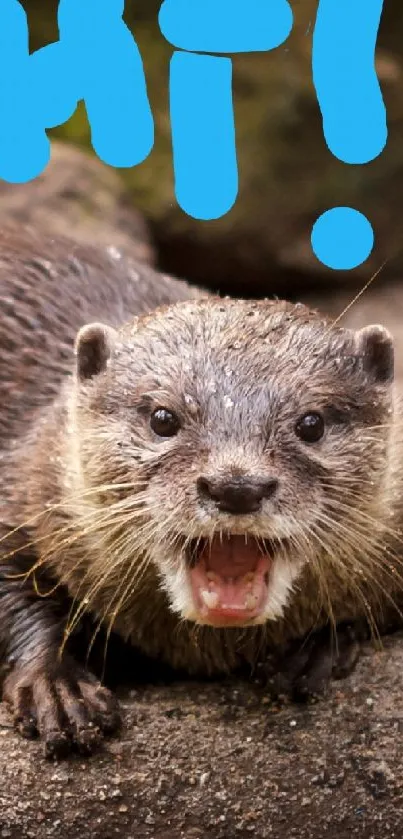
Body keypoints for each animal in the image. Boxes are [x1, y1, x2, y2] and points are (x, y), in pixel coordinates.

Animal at [0, 225, 402, 760]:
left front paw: (318, 645)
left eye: (311, 424)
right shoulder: (21, 485)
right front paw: (57, 687)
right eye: (162, 418)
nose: (236, 485)